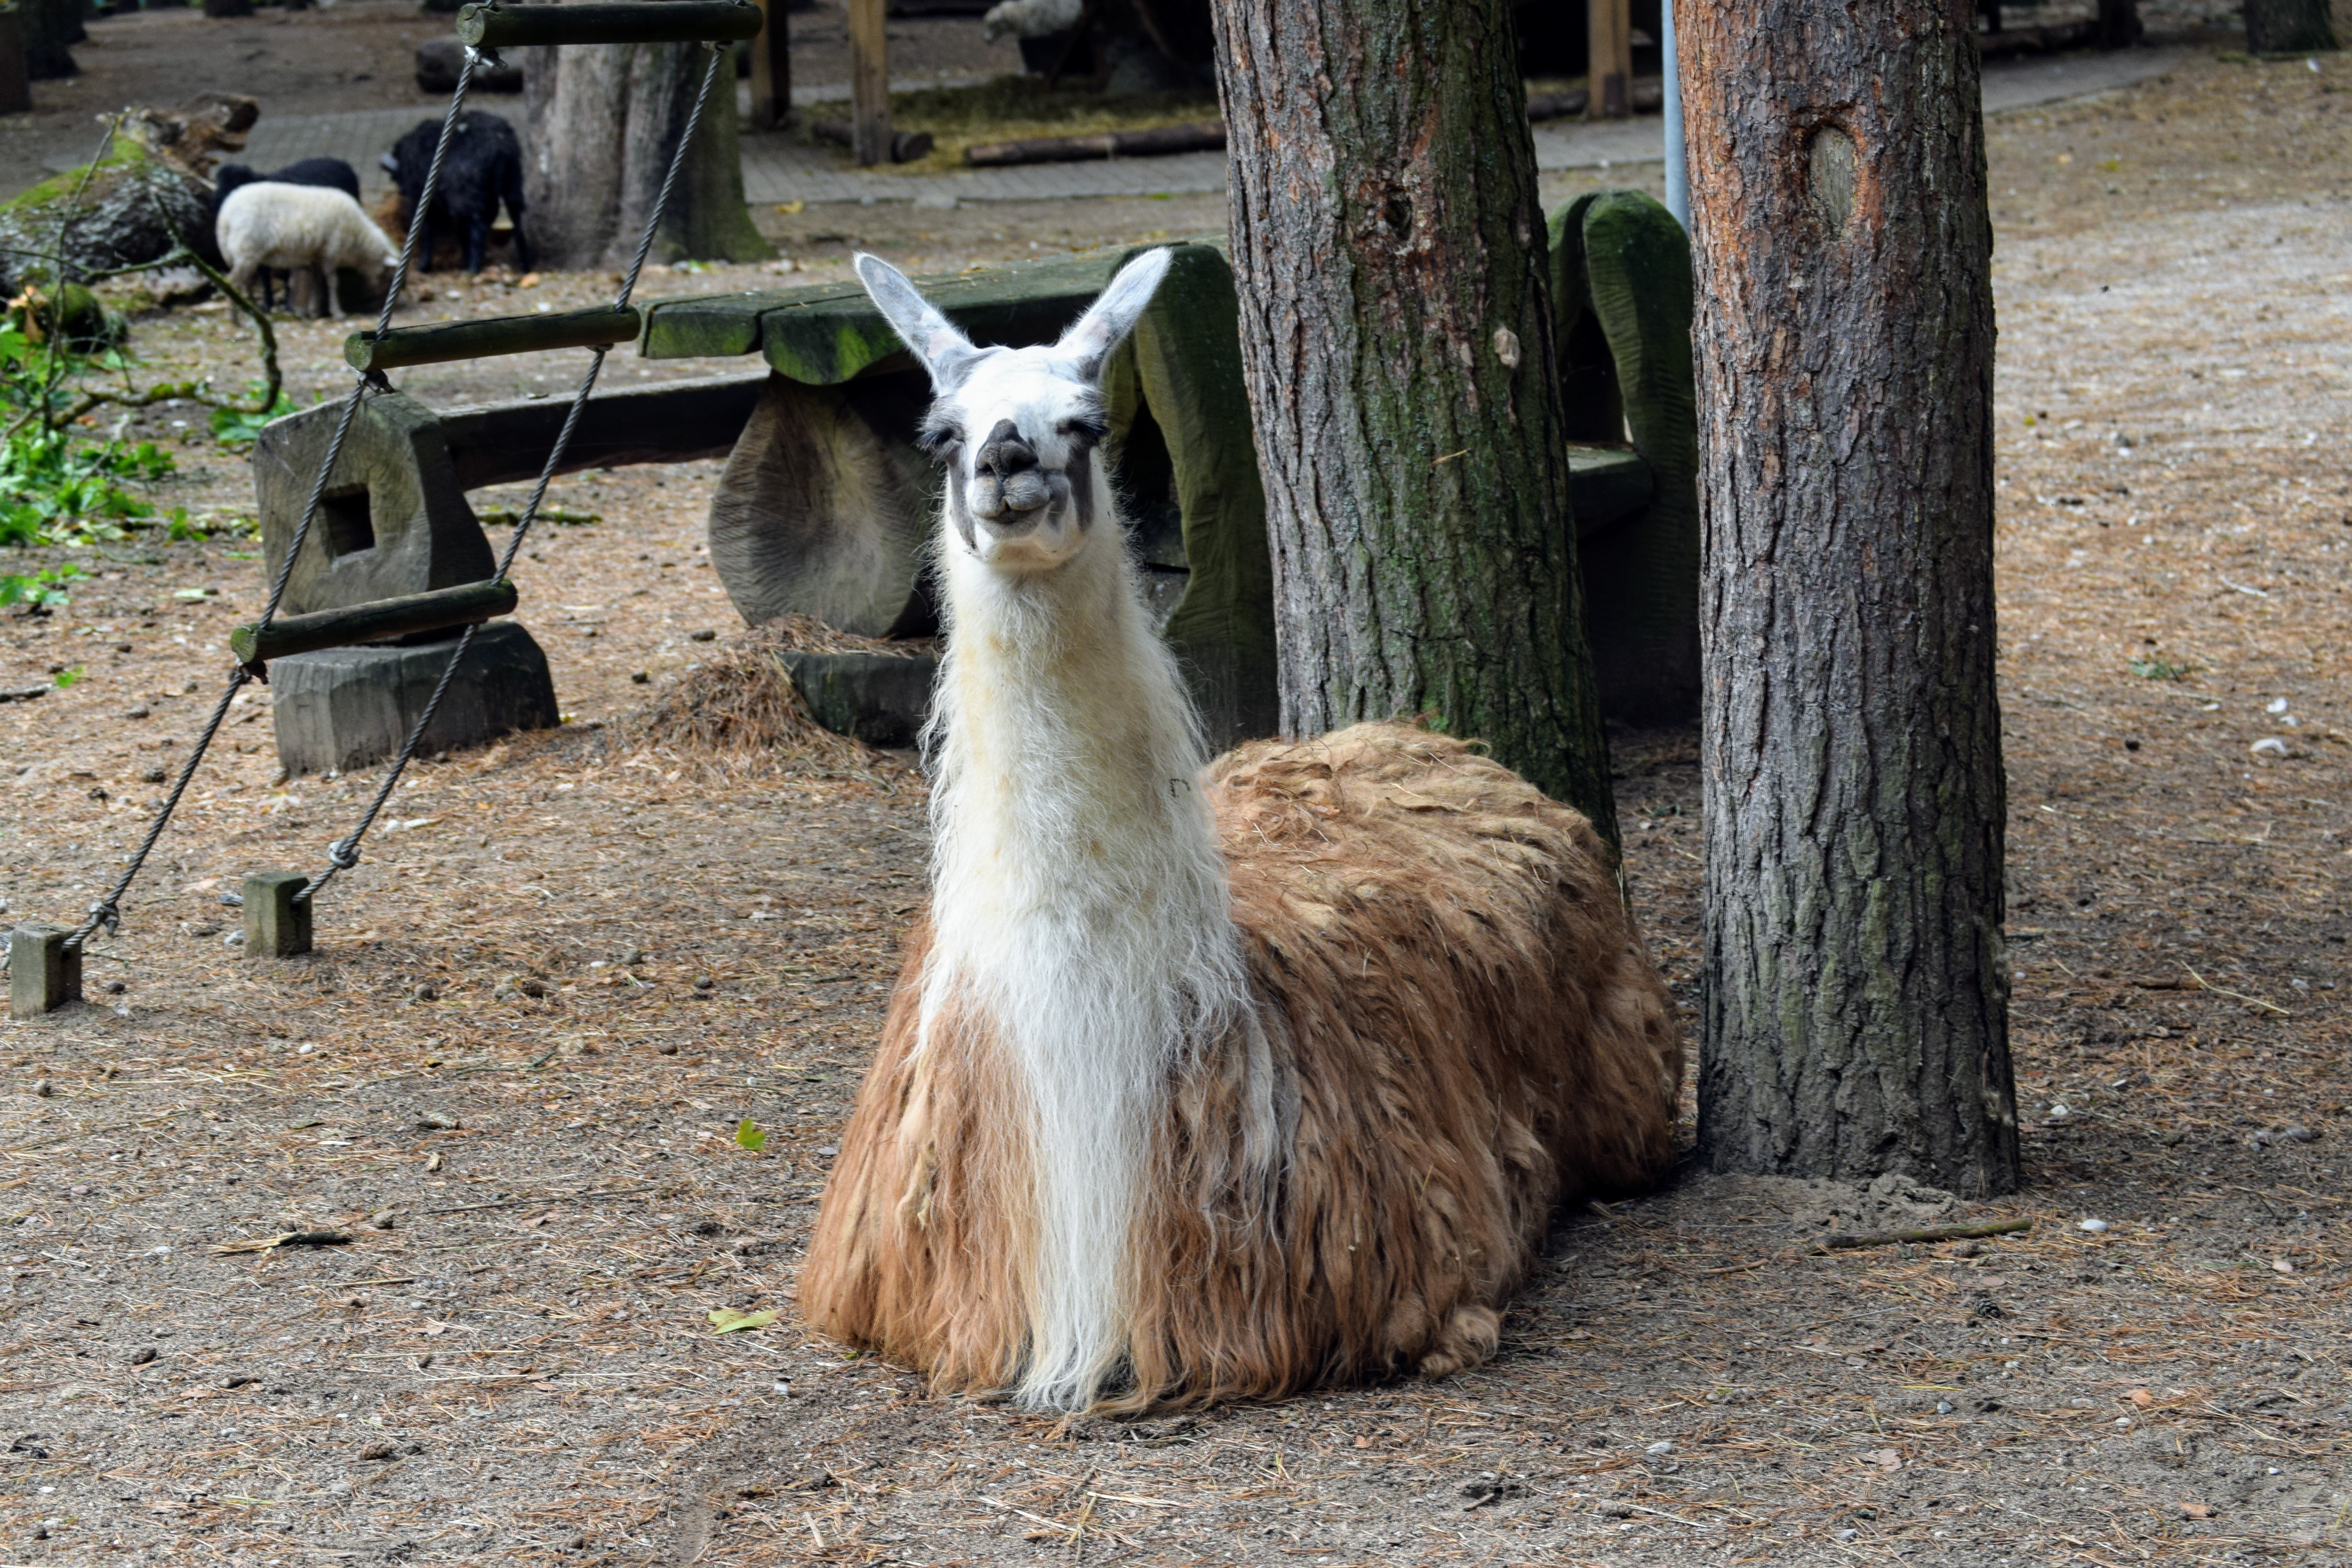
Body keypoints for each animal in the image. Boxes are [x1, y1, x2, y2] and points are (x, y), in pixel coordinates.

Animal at [213, 183, 400, 322]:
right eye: (388, 274)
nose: (381, 301)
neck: (359, 238)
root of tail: (225, 214)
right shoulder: (331, 252)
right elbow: (332, 282)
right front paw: (337, 313)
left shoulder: (317, 255)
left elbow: (316, 281)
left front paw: (314, 311)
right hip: (247, 250)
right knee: (233, 281)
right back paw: (234, 318)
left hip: (247, 254)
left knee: (245, 282)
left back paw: (252, 310)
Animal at [384, 112, 529, 274]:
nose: (401, 191)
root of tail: (501, 146)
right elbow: (462, 231)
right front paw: (464, 260)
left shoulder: (420, 197)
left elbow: (427, 229)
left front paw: (425, 266)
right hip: (512, 184)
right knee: (517, 224)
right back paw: (524, 266)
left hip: (469, 195)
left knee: (479, 228)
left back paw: (474, 268)